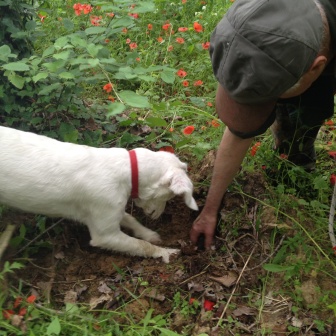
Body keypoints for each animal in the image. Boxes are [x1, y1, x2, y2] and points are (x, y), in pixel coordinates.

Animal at [0, 126, 198, 262]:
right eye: (169, 196)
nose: (158, 216)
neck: (128, 170)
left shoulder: (109, 211)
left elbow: (130, 219)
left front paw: (149, 234)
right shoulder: (105, 234)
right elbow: (141, 245)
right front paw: (165, 252)